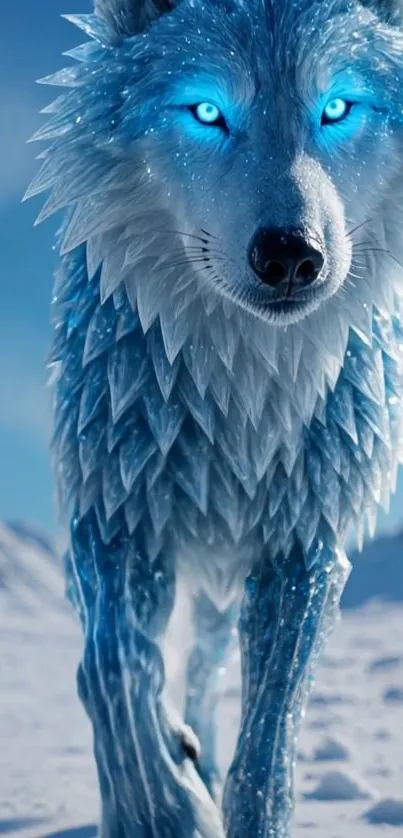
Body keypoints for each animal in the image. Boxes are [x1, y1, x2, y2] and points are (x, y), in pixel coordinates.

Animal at [27, 0, 403, 835]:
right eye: (206, 111)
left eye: (336, 108)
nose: (290, 255)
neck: (243, 394)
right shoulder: (113, 512)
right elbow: (110, 670)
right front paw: (162, 811)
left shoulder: (303, 547)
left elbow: (266, 754)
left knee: (203, 666)